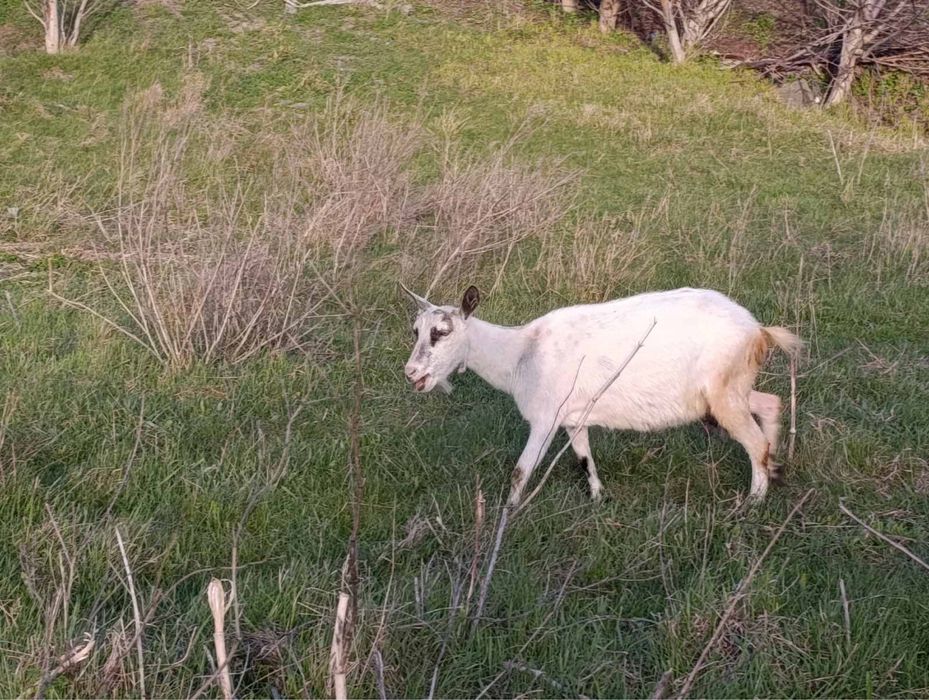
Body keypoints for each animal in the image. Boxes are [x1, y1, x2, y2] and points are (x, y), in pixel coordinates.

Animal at [401, 284, 802, 506]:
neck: (520, 354)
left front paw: (508, 515)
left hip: (723, 393)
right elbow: (584, 459)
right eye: (415, 330)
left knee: (755, 442)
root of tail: (758, 331)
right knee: (770, 403)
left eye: (441, 332)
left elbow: (520, 471)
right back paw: (778, 468)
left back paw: (752, 502)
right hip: (728, 391)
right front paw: (597, 497)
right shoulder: (573, 418)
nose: (412, 374)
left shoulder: (546, 418)